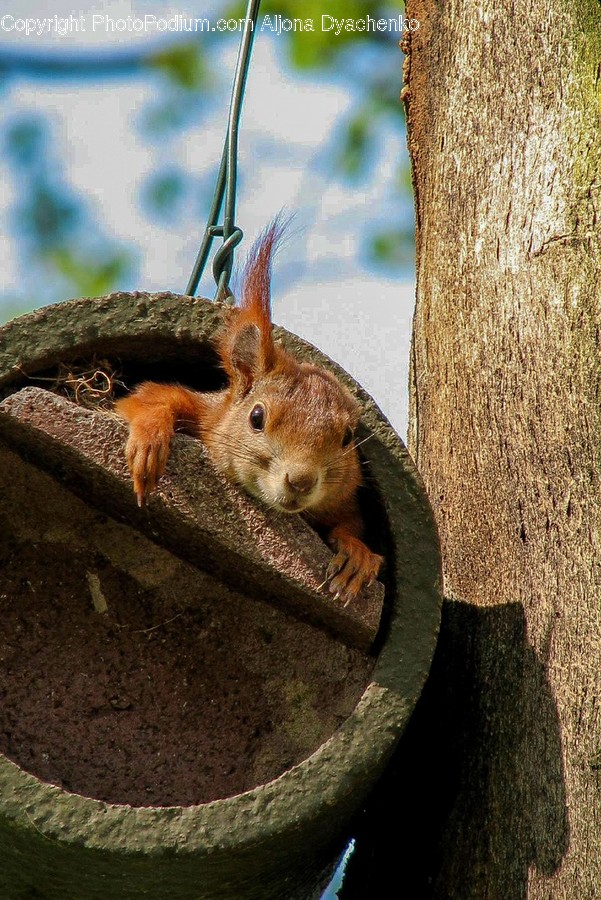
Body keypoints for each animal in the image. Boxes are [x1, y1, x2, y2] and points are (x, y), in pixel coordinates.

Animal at [115, 220, 383, 604]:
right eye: (256, 418)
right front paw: (149, 443)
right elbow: (151, 398)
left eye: (347, 438)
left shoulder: (341, 499)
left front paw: (356, 556)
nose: (301, 481)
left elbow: (351, 525)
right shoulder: (204, 412)